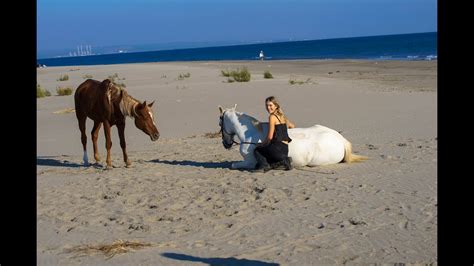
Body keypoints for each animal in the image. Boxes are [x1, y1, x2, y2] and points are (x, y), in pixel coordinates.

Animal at [218, 105, 366, 169]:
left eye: (220, 123)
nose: (226, 144)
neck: (251, 135)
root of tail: (341, 140)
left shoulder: (249, 162)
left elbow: (233, 165)